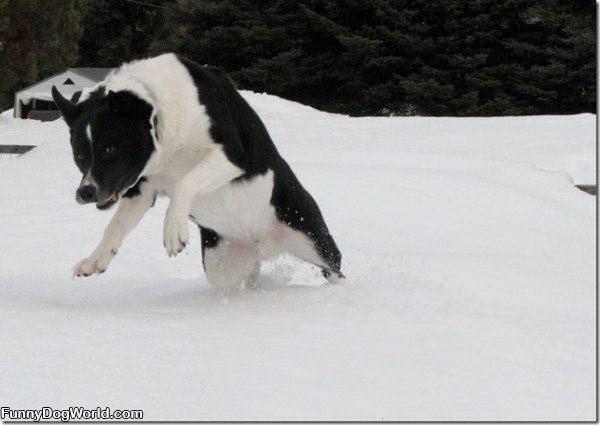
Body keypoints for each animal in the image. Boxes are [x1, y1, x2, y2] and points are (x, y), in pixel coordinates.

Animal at [54, 53, 344, 292]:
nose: (85, 192)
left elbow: (185, 181)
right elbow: (115, 226)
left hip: (314, 241)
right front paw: (96, 259)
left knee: (335, 269)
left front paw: (173, 230)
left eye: (110, 149)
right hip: (220, 267)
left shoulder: (231, 155)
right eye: (80, 155)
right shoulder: (142, 188)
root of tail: (261, 245)